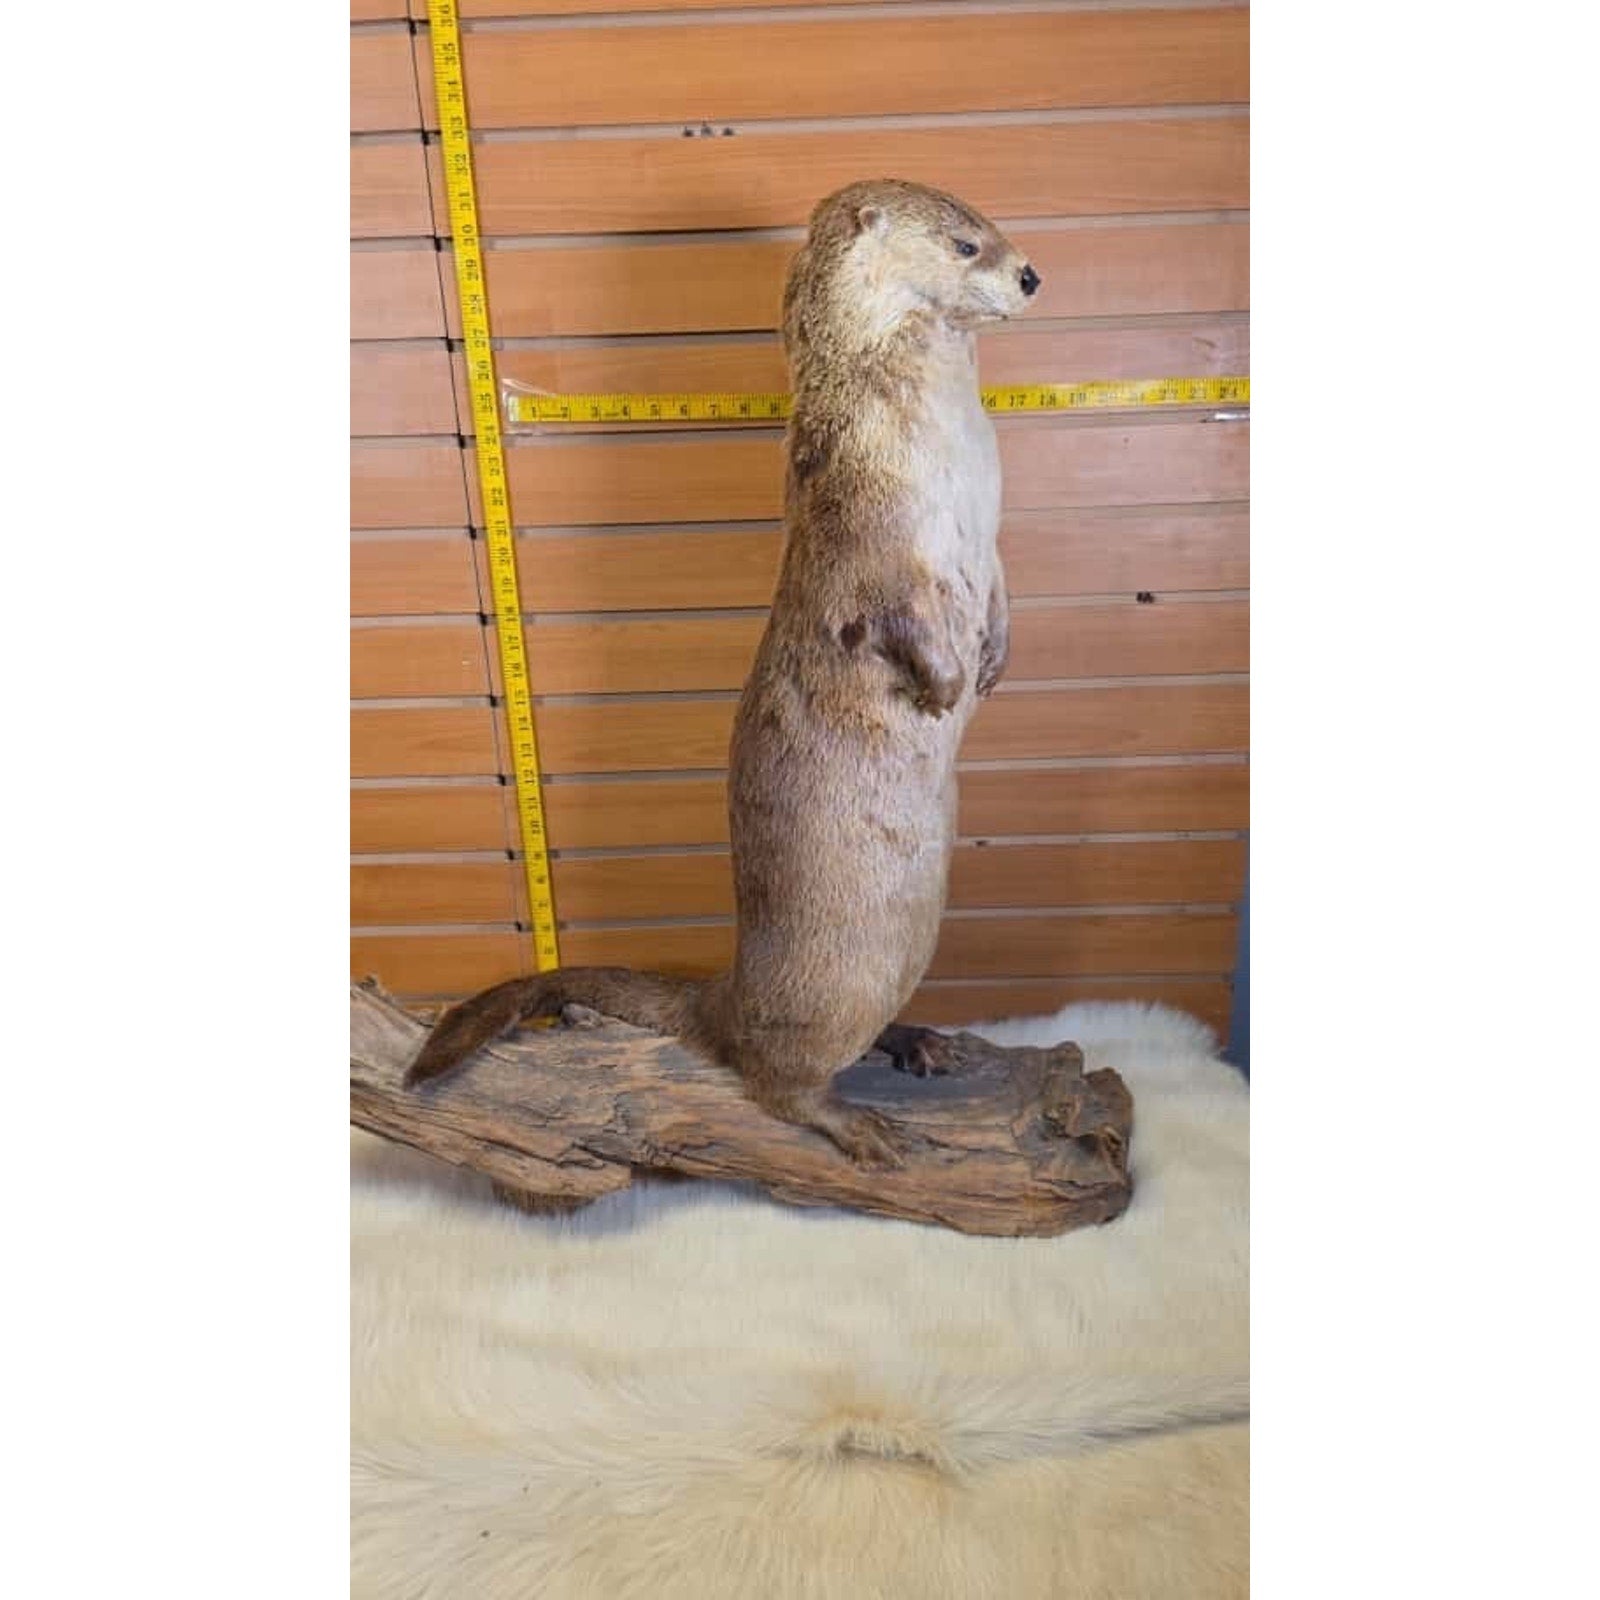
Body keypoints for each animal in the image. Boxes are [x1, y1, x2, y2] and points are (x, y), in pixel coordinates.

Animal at [406, 179, 1041, 1165]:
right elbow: (891, 622)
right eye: (967, 243)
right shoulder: (868, 548)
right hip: (828, 987)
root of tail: (726, 993)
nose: (1031, 274)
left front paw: (994, 664)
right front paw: (943, 689)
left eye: (992, 228)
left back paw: (918, 1041)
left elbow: (1006, 589)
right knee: (773, 1078)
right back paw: (859, 1125)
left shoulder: (994, 541)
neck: (949, 460)